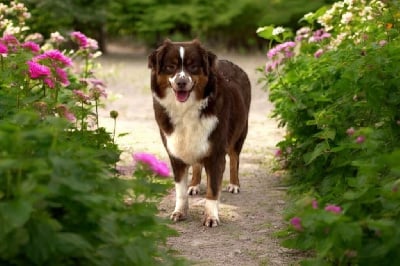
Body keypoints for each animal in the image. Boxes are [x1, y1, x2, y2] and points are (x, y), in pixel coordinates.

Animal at [148, 39, 252, 227]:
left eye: (193, 66)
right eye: (170, 66)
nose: (181, 82)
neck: (186, 109)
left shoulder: (216, 153)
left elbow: (213, 190)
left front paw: (211, 217)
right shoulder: (175, 153)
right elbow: (180, 189)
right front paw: (180, 212)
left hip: (239, 133)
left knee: (234, 159)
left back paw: (234, 184)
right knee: (197, 164)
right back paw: (194, 185)